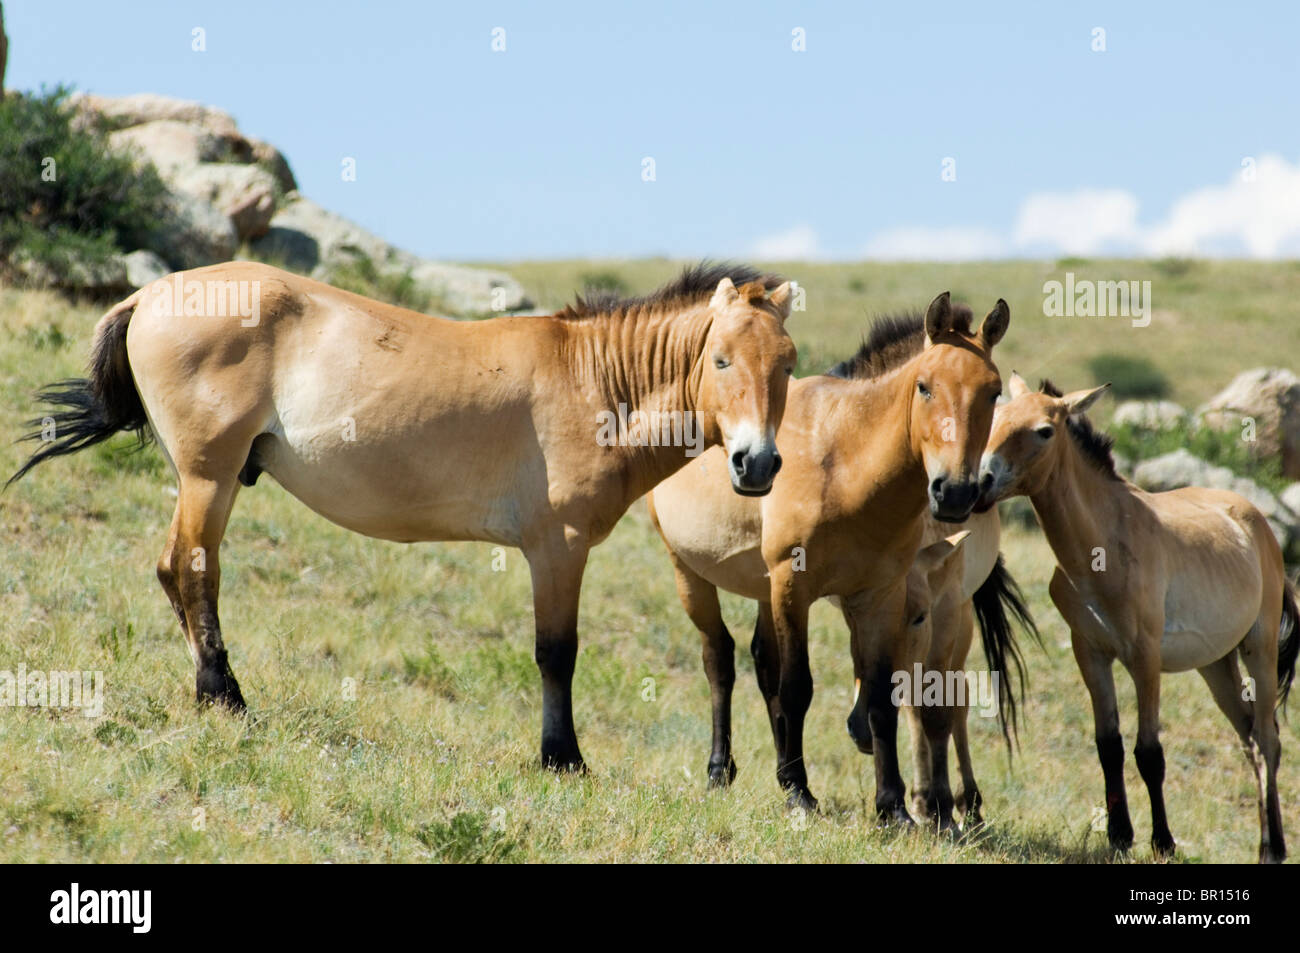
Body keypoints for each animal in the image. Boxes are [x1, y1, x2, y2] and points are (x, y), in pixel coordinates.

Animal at [647, 293, 1003, 816]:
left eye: (993, 393)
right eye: (925, 387)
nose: (954, 492)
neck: (844, 464)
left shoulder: (877, 596)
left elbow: (878, 697)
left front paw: (892, 806)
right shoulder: (794, 586)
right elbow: (797, 687)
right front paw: (800, 792)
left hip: (763, 589)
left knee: (762, 665)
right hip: (688, 572)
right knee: (719, 660)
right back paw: (720, 770)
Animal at [977, 374, 1300, 863]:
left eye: (1044, 431)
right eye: (994, 419)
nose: (978, 483)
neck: (1103, 544)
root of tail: (1256, 522)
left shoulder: (1145, 659)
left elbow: (1149, 753)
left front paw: (1162, 841)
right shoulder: (1090, 653)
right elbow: (1108, 745)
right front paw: (1119, 835)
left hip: (1258, 651)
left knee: (1267, 738)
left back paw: (1272, 848)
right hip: (1215, 664)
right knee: (1250, 737)